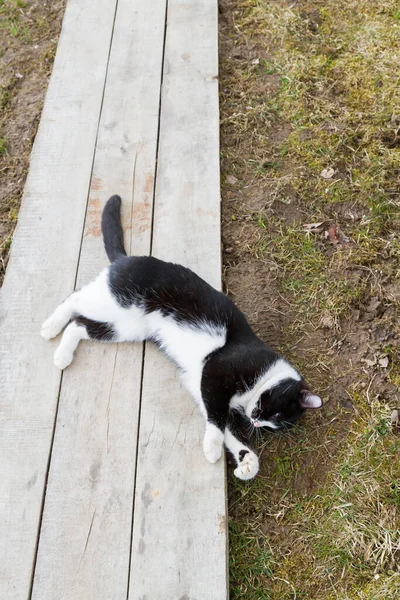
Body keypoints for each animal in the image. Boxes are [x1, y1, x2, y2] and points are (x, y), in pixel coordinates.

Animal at [40, 195, 322, 480]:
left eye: (271, 424)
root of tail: (126, 259)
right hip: (116, 301)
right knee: (75, 297)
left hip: (125, 327)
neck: (263, 378)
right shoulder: (217, 369)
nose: (255, 420)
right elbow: (218, 418)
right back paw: (50, 326)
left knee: (79, 325)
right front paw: (213, 447)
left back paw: (62, 354)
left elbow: (222, 422)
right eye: (274, 410)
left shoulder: (201, 385)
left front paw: (246, 460)